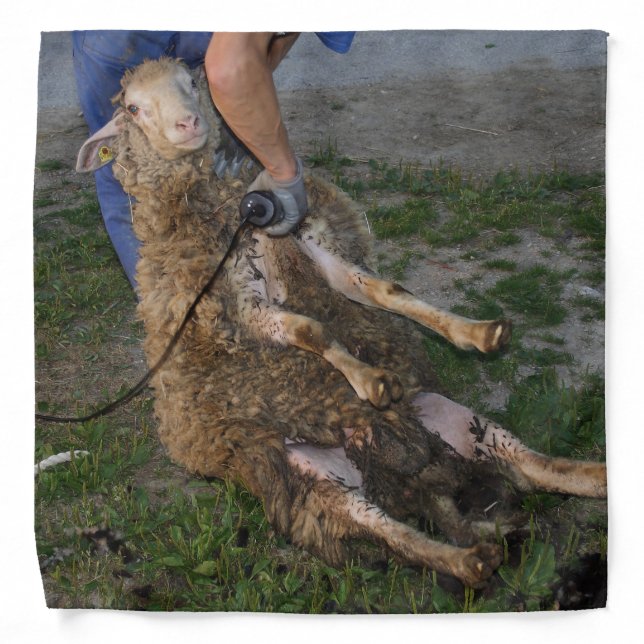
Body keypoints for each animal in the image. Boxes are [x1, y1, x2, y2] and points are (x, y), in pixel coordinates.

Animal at [76, 58, 607, 589]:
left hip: (458, 421)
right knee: (390, 531)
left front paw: (476, 333)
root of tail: (415, 477)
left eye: (191, 82)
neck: (230, 210)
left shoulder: (315, 250)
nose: (189, 123)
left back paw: (596, 477)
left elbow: (386, 292)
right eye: (132, 108)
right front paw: (370, 380)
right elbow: (309, 329)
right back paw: (468, 559)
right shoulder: (239, 305)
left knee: (537, 466)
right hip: (311, 481)